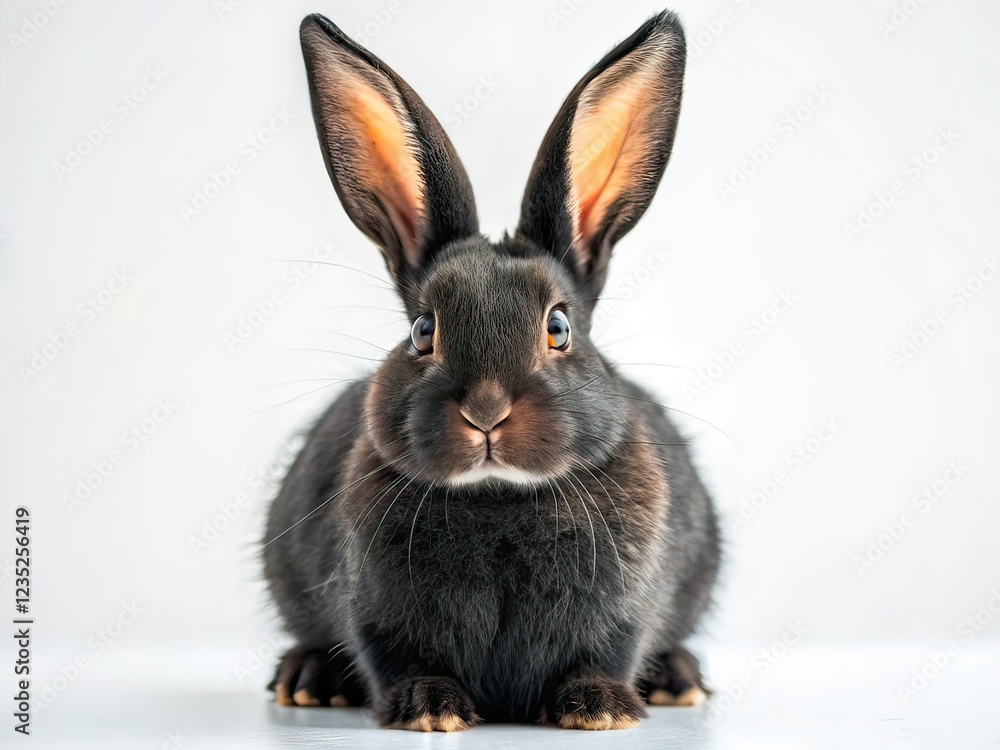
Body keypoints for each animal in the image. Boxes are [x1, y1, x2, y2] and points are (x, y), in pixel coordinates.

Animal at [262, 9, 721, 731]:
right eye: (423, 331)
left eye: (558, 327)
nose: (486, 411)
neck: (498, 495)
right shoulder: (376, 618)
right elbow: (401, 660)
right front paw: (429, 710)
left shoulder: (625, 614)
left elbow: (604, 654)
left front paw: (600, 709)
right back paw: (307, 680)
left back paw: (679, 680)